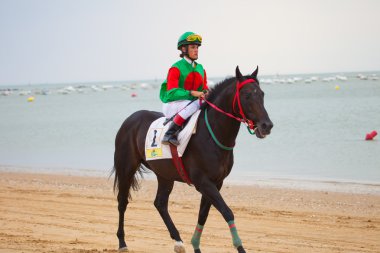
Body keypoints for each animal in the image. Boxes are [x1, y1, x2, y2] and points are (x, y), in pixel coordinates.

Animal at [112, 66, 274, 252]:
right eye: (246, 95)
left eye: (262, 94)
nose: (266, 125)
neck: (212, 134)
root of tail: (130, 119)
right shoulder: (202, 181)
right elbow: (227, 211)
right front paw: (239, 246)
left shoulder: (216, 182)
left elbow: (203, 215)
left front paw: (195, 245)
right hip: (126, 167)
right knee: (122, 201)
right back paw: (122, 242)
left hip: (164, 174)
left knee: (160, 203)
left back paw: (178, 241)